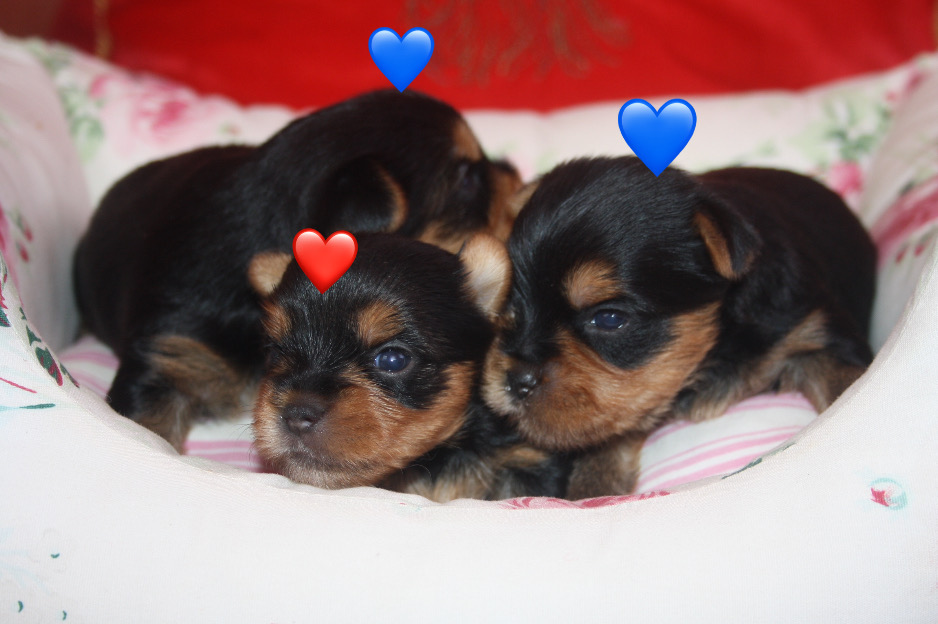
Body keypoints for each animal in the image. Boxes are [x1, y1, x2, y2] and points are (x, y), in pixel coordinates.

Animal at [482, 156, 877, 498]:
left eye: (610, 319)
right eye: (511, 305)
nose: (516, 381)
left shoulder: (814, 329)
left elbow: (847, 383)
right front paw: (591, 492)